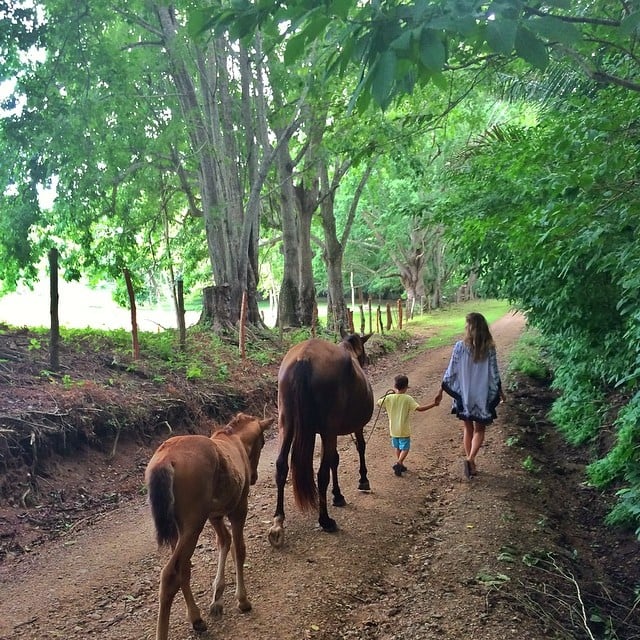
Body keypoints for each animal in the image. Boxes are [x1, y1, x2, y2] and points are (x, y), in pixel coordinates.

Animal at [145, 412, 275, 640]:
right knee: (171, 574)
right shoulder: (239, 509)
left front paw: (217, 597)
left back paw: (196, 618)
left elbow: (224, 541)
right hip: (193, 526)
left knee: (183, 569)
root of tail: (166, 459)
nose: (253, 477)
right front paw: (242, 600)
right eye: (263, 442)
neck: (235, 440)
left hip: (180, 530)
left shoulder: (215, 516)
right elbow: (238, 550)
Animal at [268, 330, 374, 548]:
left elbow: (335, 459)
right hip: (327, 429)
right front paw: (363, 480)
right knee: (322, 473)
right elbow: (359, 448)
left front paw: (338, 495)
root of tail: (304, 358)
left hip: (286, 424)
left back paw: (278, 522)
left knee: (281, 466)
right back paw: (325, 520)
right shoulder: (348, 428)